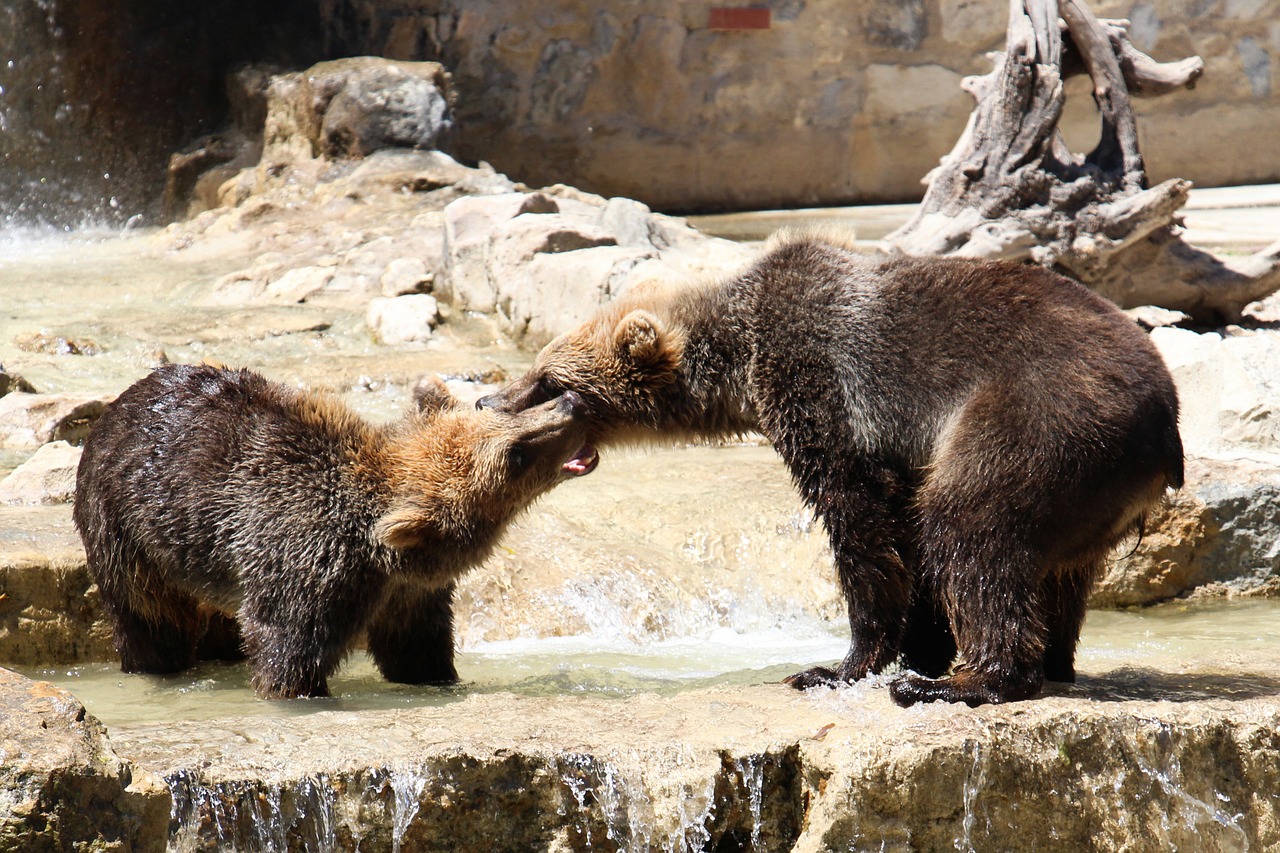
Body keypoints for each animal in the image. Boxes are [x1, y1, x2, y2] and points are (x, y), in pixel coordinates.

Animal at [67, 361, 591, 696]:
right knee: (150, 617)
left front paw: (438, 676)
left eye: (502, 413)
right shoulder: (305, 561)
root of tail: (117, 406)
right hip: (127, 530)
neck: (379, 554)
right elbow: (287, 647)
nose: (569, 402)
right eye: (514, 457)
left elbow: (415, 646)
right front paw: (298, 689)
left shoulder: (409, 592)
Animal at [483, 233, 1182, 701]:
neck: (739, 358)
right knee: (1057, 569)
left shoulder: (822, 381)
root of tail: (1164, 419)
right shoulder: (896, 444)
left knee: (973, 527)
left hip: (1041, 418)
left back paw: (969, 681)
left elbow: (862, 521)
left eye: (548, 381)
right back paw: (1052, 661)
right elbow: (902, 533)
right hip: (1090, 487)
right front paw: (921, 648)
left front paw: (839, 665)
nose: (488, 399)